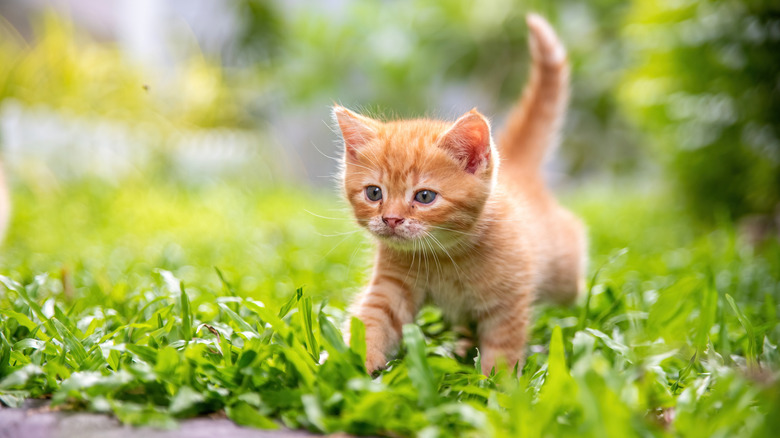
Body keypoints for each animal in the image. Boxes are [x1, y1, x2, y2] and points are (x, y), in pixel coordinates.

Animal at [334, 15, 584, 374]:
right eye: (373, 193)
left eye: (424, 197)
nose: (391, 219)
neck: (444, 255)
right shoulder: (391, 287)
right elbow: (372, 322)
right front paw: (347, 369)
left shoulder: (508, 302)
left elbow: (503, 349)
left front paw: (497, 383)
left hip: (563, 272)